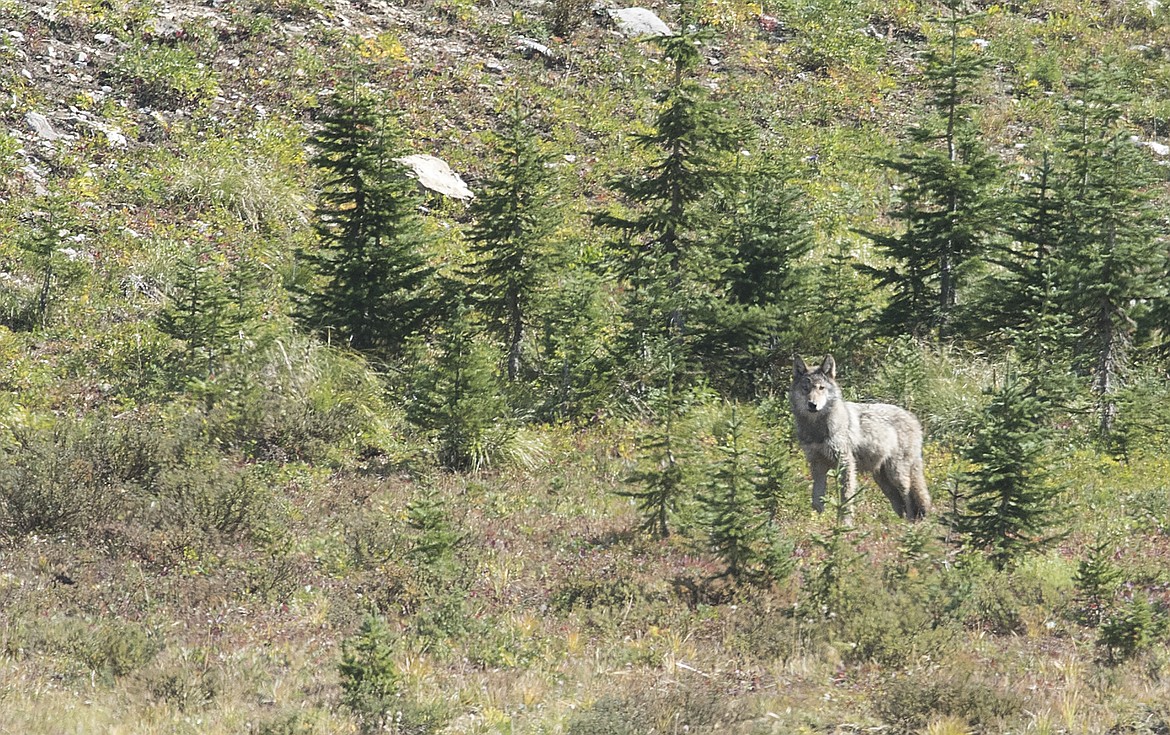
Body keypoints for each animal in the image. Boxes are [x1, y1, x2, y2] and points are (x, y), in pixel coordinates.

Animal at [786, 355, 931, 521]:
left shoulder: (846, 463)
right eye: (806, 389)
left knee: (908, 498)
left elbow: (846, 497)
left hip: (896, 474)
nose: (812, 404)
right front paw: (819, 521)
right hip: (883, 481)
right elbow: (817, 500)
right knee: (900, 504)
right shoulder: (817, 465)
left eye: (821, 388)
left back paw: (908, 524)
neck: (817, 429)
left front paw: (845, 523)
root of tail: (913, 418)